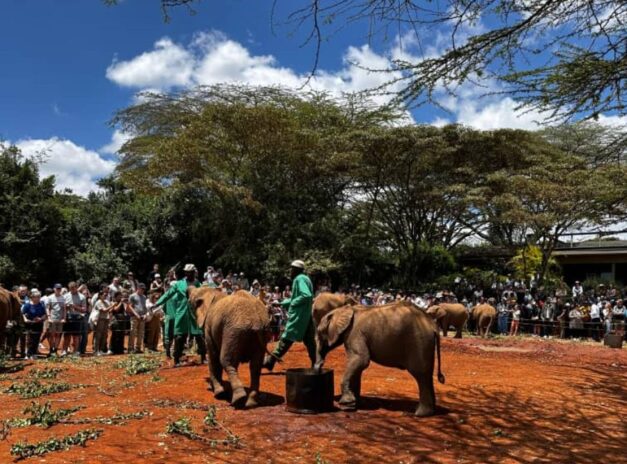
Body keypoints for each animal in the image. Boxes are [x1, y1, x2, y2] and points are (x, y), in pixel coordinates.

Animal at [316, 300, 444, 416]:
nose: (319, 366)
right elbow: (358, 364)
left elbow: (361, 360)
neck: (343, 310)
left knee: (420, 374)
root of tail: (432, 325)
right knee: (426, 375)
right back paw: (428, 412)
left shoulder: (355, 333)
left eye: (319, 332)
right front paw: (354, 405)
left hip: (419, 342)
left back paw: (419, 414)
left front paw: (347, 405)